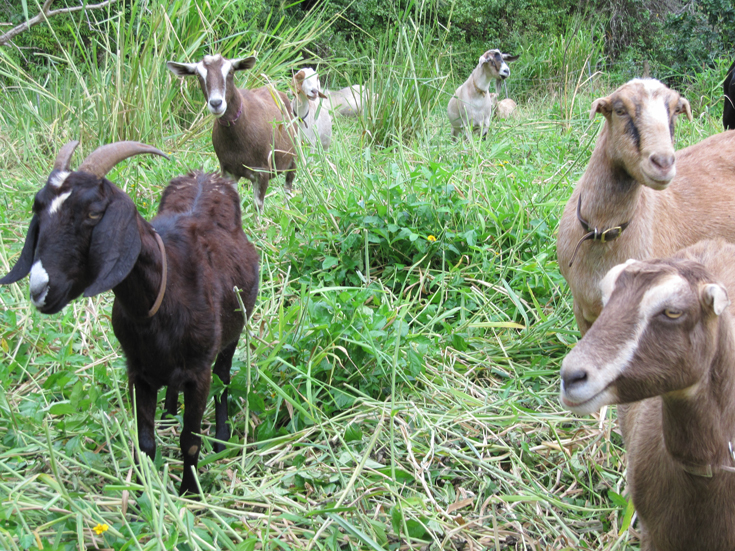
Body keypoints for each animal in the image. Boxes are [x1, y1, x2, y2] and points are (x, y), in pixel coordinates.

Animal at [0, 141, 260, 496]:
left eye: (94, 213)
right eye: (37, 209)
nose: (40, 289)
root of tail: (204, 175)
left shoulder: (198, 372)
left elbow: (190, 440)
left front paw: (190, 493)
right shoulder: (138, 372)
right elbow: (145, 443)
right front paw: (141, 496)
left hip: (232, 334)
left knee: (224, 378)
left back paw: (221, 440)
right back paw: (169, 413)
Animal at [168, 54, 298, 213]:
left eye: (230, 72)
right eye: (198, 75)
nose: (216, 103)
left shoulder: (262, 171)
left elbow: (258, 206)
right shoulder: (228, 170)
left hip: (293, 156)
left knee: (288, 186)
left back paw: (288, 210)